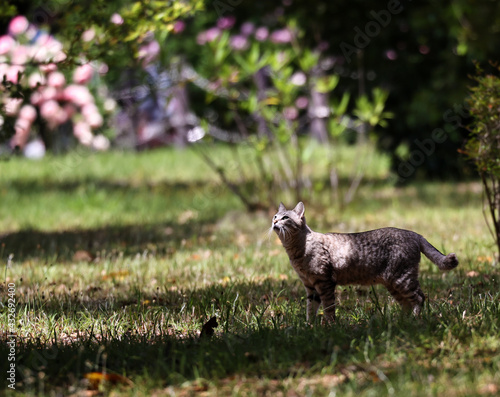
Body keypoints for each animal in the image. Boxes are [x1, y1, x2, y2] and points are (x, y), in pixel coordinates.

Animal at [272, 201, 458, 322]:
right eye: (275, 216)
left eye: (285, 218)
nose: (274, 221)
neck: (297, 250)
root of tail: (415, 234)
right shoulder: (310, 286)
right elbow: (311, 310)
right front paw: (309, 327)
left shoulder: (324, 282)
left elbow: (329, 308)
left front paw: (329, 326)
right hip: (394, 284)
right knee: (407, 303)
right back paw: (401, 321)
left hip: (402, 279)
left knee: (419, 297)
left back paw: (413, 319)